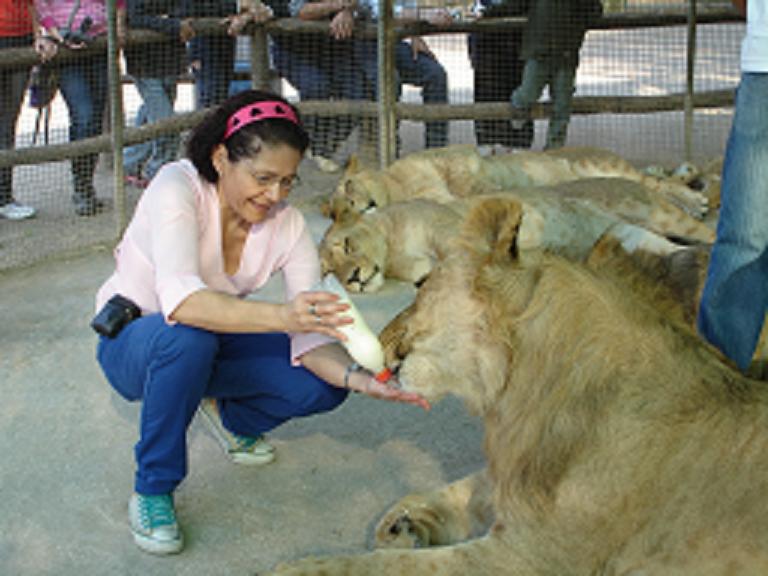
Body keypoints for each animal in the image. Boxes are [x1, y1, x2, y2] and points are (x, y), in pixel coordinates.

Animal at [268, 197, 768, 572]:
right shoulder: (515, 481)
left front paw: (301, 569)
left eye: (423, 285)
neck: (519, 389)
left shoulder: (532, 557)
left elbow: (391, 568)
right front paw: (407, 520)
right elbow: (469, 487)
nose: (384, 339)